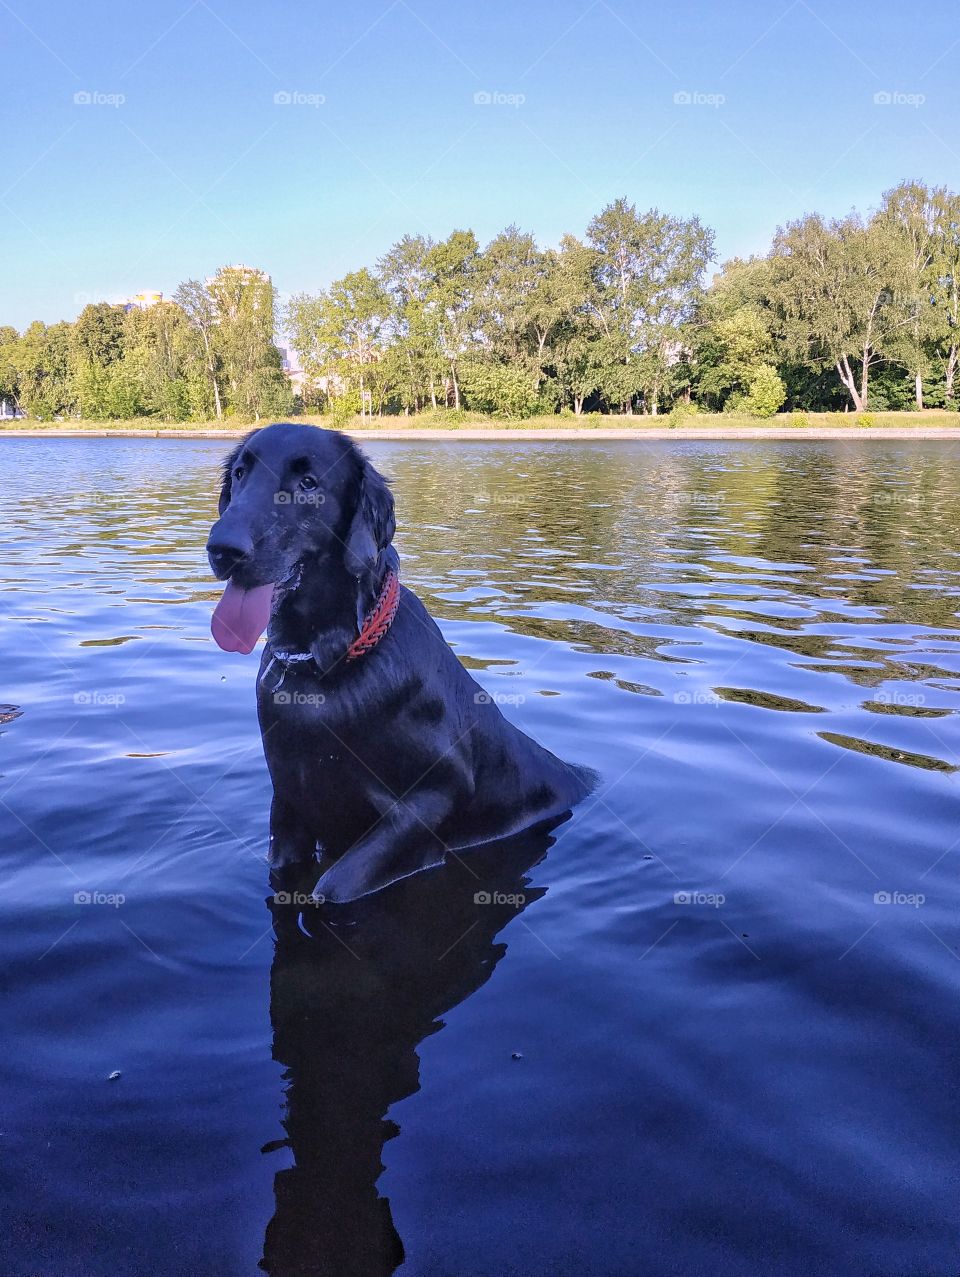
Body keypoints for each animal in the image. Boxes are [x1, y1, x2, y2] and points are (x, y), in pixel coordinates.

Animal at [208, 423, 592, 904]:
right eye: (240, 473)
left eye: (309, 483)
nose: (222, 549)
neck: (324, 665)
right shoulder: (288, 798)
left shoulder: (435, 796)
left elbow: (332, 888)